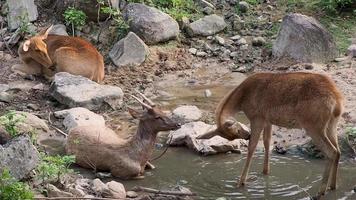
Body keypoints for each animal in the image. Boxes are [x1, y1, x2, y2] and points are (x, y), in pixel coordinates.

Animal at [197, 71, 344, 198]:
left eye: (236, 132)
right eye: (231, 137)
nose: (247, 135)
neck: (242, 99)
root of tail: (338, 100)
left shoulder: (257, 117)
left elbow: (252, 148)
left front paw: (241, 182)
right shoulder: (268, 120)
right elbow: (267, 143)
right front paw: (265, 172)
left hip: (313, 125)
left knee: (331, 151)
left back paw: (320, 192)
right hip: (332, 124)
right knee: (338, 151)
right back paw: (333, 186)